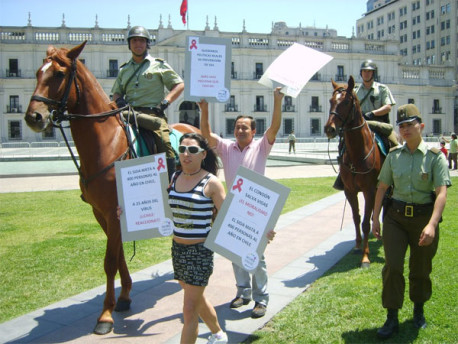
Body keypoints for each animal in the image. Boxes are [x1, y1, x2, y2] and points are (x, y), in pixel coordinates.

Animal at [23, 40, 199, 334]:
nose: (34, 117)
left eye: (59, 74)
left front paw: (105, 315)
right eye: (37, 72)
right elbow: (118, 257)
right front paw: (124, 297)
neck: (105, 143)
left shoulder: (115, 211)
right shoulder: (101, 213)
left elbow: (108, 262)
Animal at [324, 76, 384, 268]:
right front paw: (358, 246)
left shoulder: (369, 190)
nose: (329, 129)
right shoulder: (350, 191)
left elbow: (365, 222)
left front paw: (365, 257)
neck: (358, 153)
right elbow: (356, 218)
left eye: (346, 102)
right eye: (331, 101)